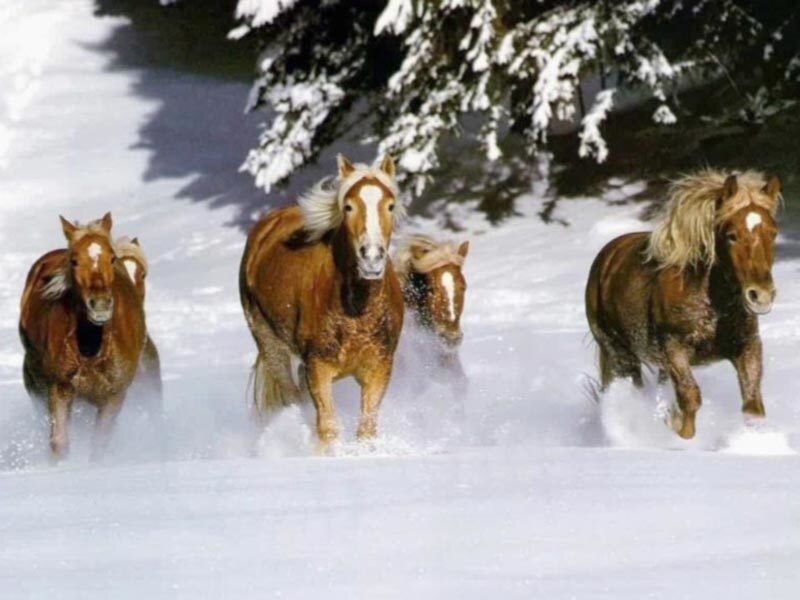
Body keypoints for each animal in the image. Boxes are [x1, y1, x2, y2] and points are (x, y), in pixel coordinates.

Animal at [19, 213, 146, 458]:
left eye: (112, 258)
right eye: (74, 261)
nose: (100, 305)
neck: (91, 348)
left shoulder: (114, 395)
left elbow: (99, 445)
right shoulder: (59, 388)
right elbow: (59, 443)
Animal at [239, 154, 405, 448]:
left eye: (390, 205)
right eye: (348, 206)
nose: (371, 257)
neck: (356, 313)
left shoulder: (379, 367)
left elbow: (366, 429)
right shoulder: (318, 368)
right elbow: (328, 428)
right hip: (271, 346)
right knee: (292, 396)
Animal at [585, 170, 781, 439]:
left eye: (773, 233)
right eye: (731, 235)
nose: (761, 296)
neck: (714, 306)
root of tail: (606, 258)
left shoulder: (748, 346)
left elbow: (753, 405)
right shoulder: (674, 349)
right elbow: (690, 397)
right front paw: (679, 433)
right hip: (619, 352)